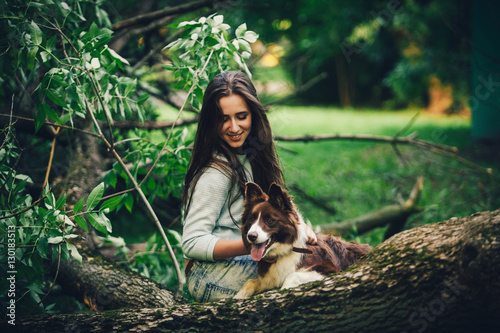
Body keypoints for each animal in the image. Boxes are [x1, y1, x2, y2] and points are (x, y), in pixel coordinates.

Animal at [234, 182, 372, 298]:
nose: (251, 236)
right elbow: (250, 281)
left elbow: (292, 275)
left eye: (270, 220)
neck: (283, 253)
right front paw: (238, 297)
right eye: (251, 219)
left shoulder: (329, 268)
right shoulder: (269, 280)